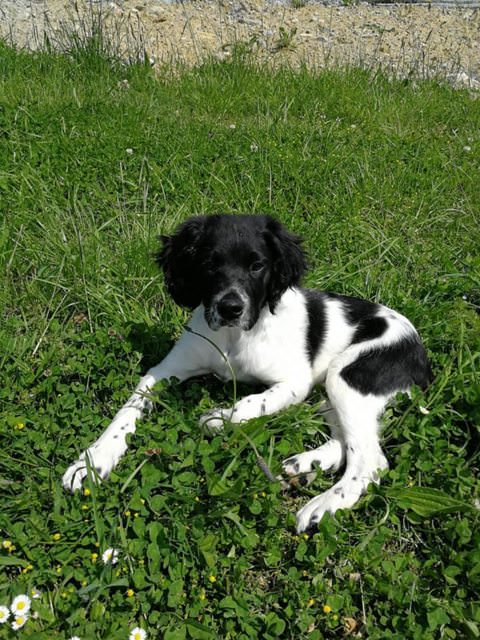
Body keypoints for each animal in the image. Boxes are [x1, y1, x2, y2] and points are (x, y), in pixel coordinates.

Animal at [62, 212, 434, 532]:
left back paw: (324, 504)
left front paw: (217, 419)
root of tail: (418, 349)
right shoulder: (165, 370)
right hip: (329, 394)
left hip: (348, 375)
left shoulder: (294, 383)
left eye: (257, 266)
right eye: (209, 264)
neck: (233, 338)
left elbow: (253, 403)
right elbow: (126, 412)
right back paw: (304, 465)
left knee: (371, 460)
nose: (230, 308)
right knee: (347, 440)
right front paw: (92, 461)